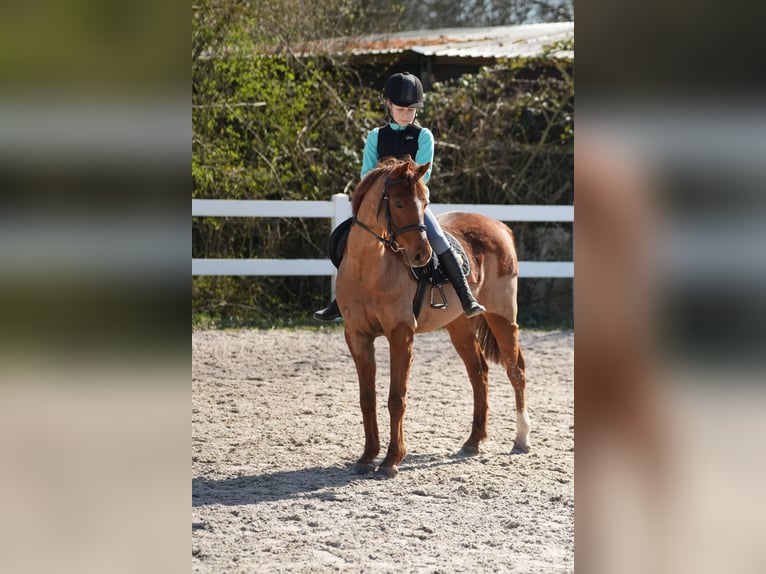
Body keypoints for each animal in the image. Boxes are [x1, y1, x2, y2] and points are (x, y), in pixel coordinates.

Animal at [335, 156, 529, 478]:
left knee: (516, 372)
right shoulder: (357, 336)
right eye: (398, 203)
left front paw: (391, 460)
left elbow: (396, 398)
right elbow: (367, 398)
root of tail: (498, 226)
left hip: (502, 317)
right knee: (479, 373)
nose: (421, 256)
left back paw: (522, 439)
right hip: (459, 325)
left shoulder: (401, 335)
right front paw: (367, 457)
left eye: (425, 202)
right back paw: (473, 442)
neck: (368, 270)